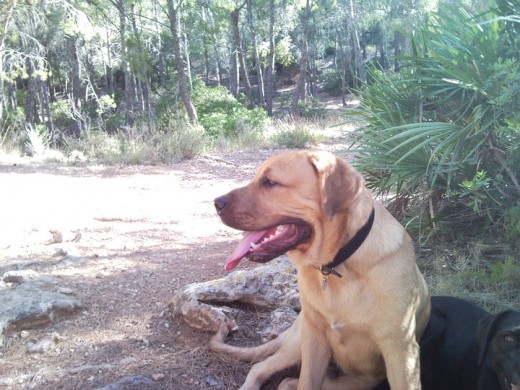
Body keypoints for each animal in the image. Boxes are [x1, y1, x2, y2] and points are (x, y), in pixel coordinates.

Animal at [211, 151, 430, 388]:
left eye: (270, 182)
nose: (216, 203)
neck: (337, 266)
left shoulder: (401, 351)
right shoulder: (314, 337)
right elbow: (306, 381)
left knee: (286, 380)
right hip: (299, 343)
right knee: (260, 368)